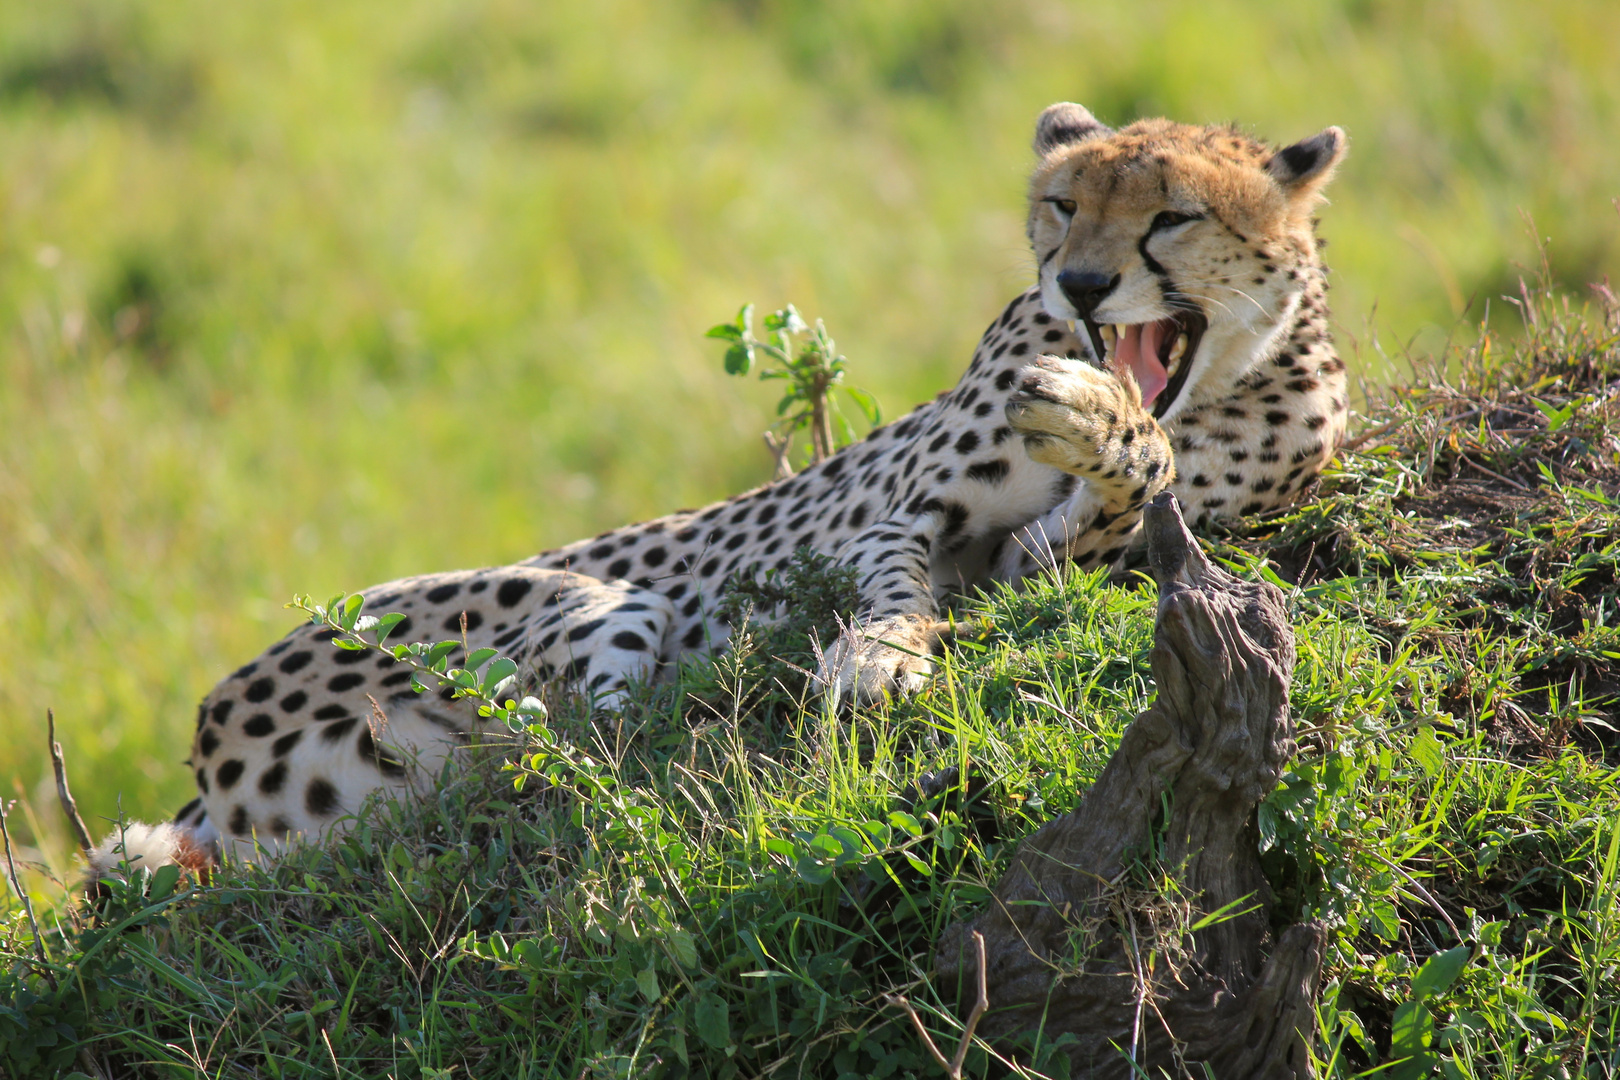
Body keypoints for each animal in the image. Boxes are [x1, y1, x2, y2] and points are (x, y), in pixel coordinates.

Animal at [91, 105, 1354, 874]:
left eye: (1170, 216)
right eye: (1062, 205)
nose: (1080, 282)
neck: (1204, 385)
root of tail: (205, 741)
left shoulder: (1046, 554)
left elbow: (1117, 498)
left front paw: (1103, 429)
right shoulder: (896, 517)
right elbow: (897, 589)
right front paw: (876, 657)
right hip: (580, 604)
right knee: (586, 741)